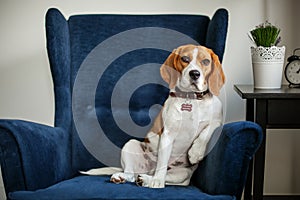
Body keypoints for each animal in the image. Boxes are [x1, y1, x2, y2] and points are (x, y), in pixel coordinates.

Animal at [83, 44, 224, 189]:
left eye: (206, 61)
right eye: (185, 59)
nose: (195, 74)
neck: (191, 99)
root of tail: (149, 171)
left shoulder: (218, 120)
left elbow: (209, 129)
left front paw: (196, 152)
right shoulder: (167, 135)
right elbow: (162, 163)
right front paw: (157, 182)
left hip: (182, 174)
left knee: (163, 178)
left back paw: (145, 179)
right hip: (130, 145)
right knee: (131, 175)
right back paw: (128, 177)